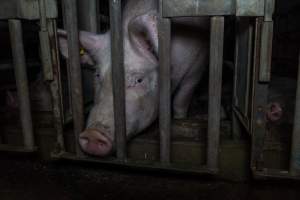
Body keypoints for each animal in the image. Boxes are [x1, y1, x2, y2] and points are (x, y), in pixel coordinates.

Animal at [58, 0, 209, 156]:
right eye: (98, 75)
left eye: (139, 80)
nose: (93, 134)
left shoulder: (197, 65)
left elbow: (180, 102)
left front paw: (180, 119)